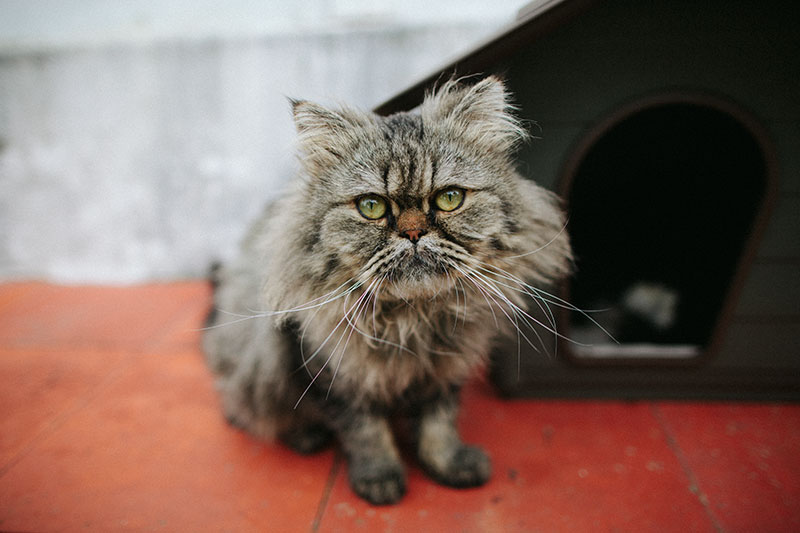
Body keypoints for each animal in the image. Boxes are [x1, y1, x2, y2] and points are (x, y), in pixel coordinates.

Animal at [203, 77, 572, 504]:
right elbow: (365, 429)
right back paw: (304, 435)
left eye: (449, 198)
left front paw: (449, 464)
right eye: (371, 207)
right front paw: (379, 479)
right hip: (256, 361)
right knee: (243, 406)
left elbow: (438, 422)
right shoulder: (332, 370)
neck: (413, 317)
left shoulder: (446, 367)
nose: (413, 233)